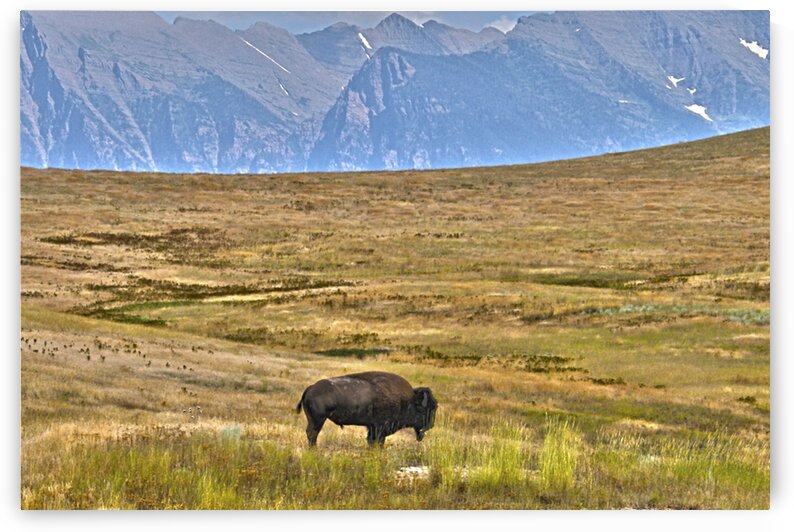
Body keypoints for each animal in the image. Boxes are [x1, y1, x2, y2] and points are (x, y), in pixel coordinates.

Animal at [296, 371, 438, 446]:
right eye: (426, 409)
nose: (431, 425)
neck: (408, 400)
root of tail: (311, 388)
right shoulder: (380, 428)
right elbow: (377, 442)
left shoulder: (372, 427)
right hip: (318, 420)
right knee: (313, 434)